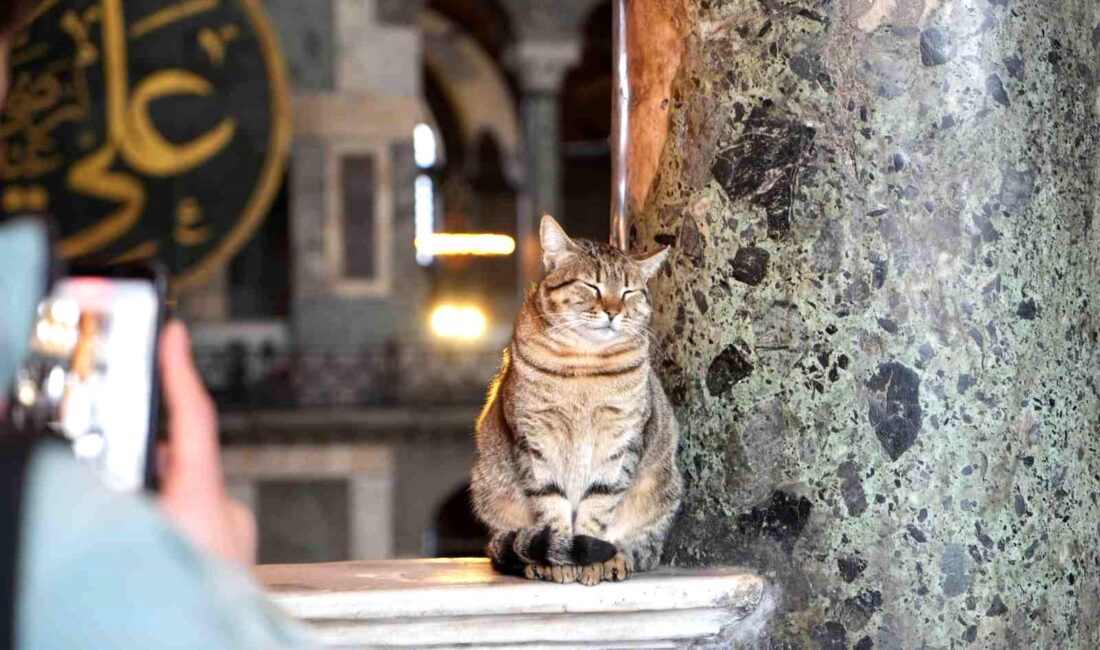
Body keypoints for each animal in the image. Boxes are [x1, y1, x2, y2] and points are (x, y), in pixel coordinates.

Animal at [470, 217, 677, 585]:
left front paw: (592, 559)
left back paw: (616, 558)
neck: (585, 363)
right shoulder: (535, 439)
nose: (613, 311)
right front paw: (561, 558)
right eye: (591, 285)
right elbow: (552, 504)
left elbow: (599, 503)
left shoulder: (621, 440)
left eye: (629, 291)